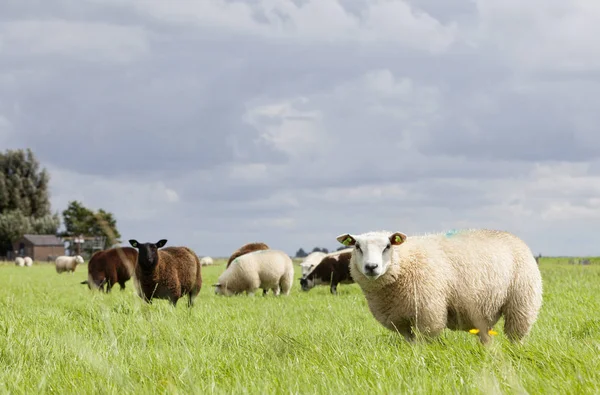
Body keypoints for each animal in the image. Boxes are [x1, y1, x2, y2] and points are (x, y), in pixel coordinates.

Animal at [338, 230, 544, 344]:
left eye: (387, 246)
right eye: (357, 246)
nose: (371, 267)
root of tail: (514, 238)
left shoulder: (428, 313)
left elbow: (424, 342)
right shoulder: (400, 321)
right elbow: (410, 343)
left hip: (522, 303)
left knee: (517, 336)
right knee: (486, 337)